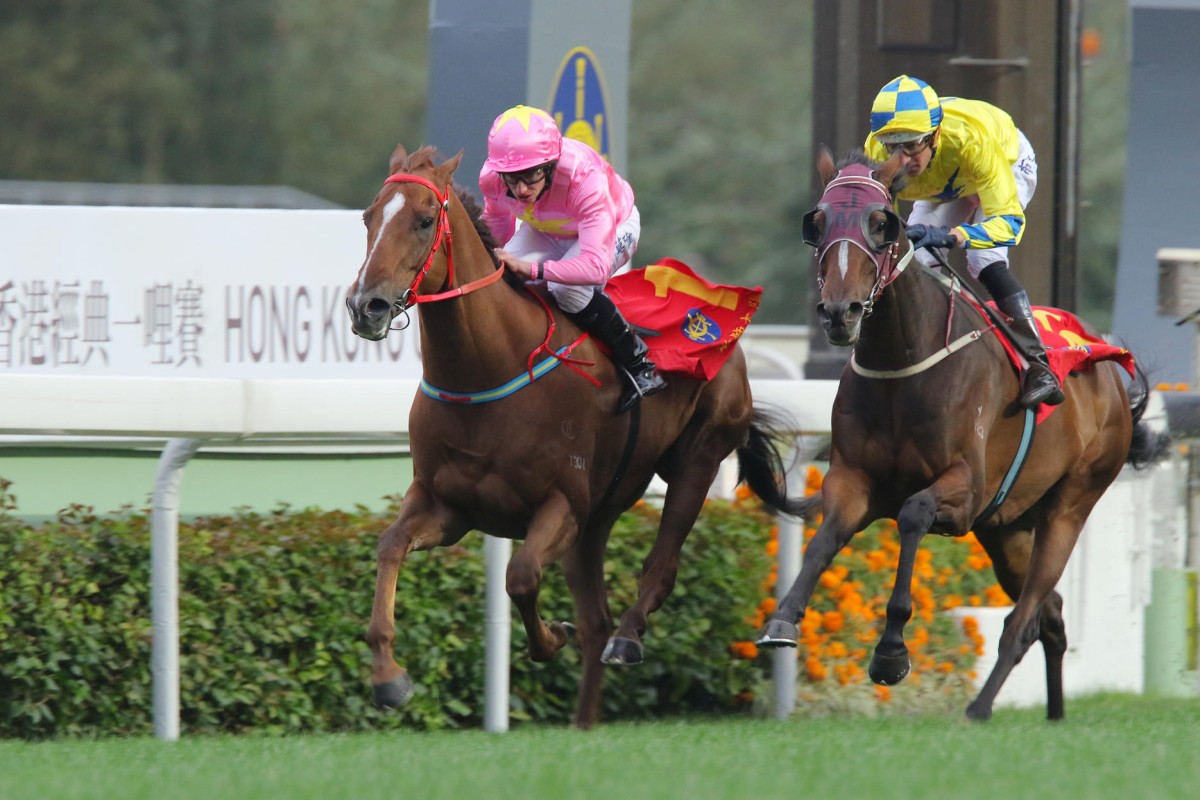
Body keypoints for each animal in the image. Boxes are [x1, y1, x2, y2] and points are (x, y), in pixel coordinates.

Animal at [343, 145, 801, 734]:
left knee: (657, 571)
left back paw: (627, 639)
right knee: (595, 620)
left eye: (424, 220)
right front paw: (387, 677)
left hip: (696, 462)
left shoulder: (561, 504)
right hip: (596, 520)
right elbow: (389, 546)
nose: (367, 306)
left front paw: (549, 637)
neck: (488, 368)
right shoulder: (448, 505)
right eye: (368, 217)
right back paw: (586, 718)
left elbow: (519, 576)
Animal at [758, 146, 1161, 724]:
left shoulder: (966, 491)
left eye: (882, 223)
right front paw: (782, 621)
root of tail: (1107, 368)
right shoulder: (854, 480)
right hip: (1008, 529)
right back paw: (1055, 713)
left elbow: (912, 514)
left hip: (1070, 504)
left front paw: (890, 653)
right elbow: (823, 540)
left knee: (1023, 619)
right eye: (818, 222)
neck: (903, 362)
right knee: (1051, 614)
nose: (839, 312)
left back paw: (980, 706)